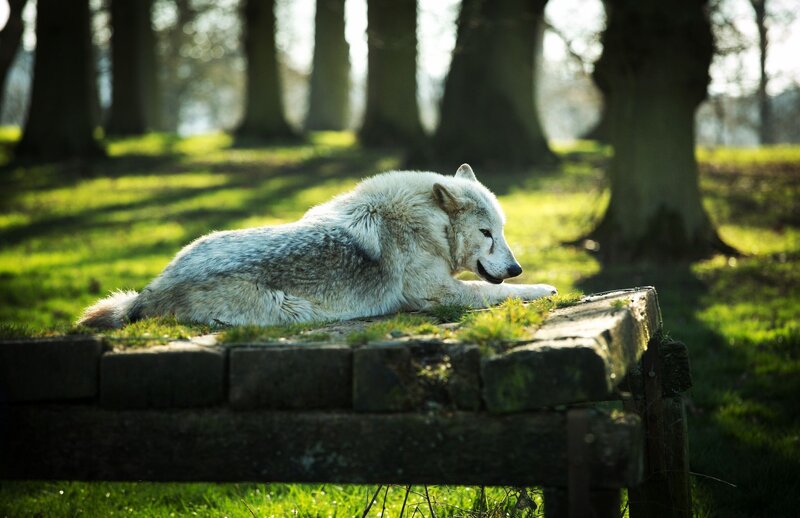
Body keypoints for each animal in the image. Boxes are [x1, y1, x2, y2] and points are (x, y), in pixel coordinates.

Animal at [78, 164, 557, 328]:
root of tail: (152, 290)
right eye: (487, 234)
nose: (516, 267)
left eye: (503, 231)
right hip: (292, 310)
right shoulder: (439, 294)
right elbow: (498, 292)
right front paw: (542, 287)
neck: (428, 225)